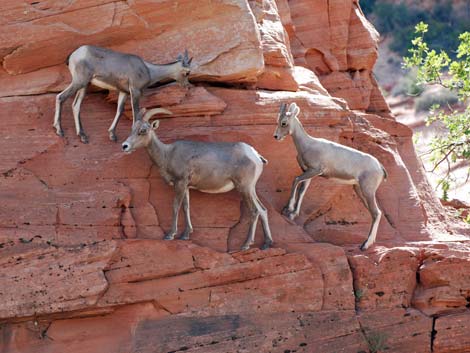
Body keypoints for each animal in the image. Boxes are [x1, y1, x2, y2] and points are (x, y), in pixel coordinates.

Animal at [54, 45, 193, 143]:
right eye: (187, 72)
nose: (188, 86)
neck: (148, 70)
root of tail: (74, 54)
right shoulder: (135, 91)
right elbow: (136, 113)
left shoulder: (124, 92)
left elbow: (119, 111)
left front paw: (112, 135)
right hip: (80, 81)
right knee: (60, 97)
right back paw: (59, 130)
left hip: (84, 85)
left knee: (76, 106)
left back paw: (83, 136)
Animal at [123, 108, 274, 249]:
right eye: (132, 129)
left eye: (143, 130)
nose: (125, 146)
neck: (167, 154)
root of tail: (255, 155)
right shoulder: (186, 187)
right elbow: (186, 207)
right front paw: (185, 235)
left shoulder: (180, 183)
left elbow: (176, 206)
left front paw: (170, 235)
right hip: (250, 189)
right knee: (263, 210)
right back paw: (266, 244)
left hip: (244, 188)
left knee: (254, 211)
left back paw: (245, 245)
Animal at [274, 102, 388, 250]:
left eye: (283, 123)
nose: (276, 136)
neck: (308, 144)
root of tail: (379, 167)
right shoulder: (309, 174)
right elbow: (301, 191)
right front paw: (293, 214)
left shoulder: (314, 170)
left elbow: (295, 180)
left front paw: (288, 209)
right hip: (359, 190)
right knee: (374, 213)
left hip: (367, 191)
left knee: (376, 213)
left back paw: (365, 245)